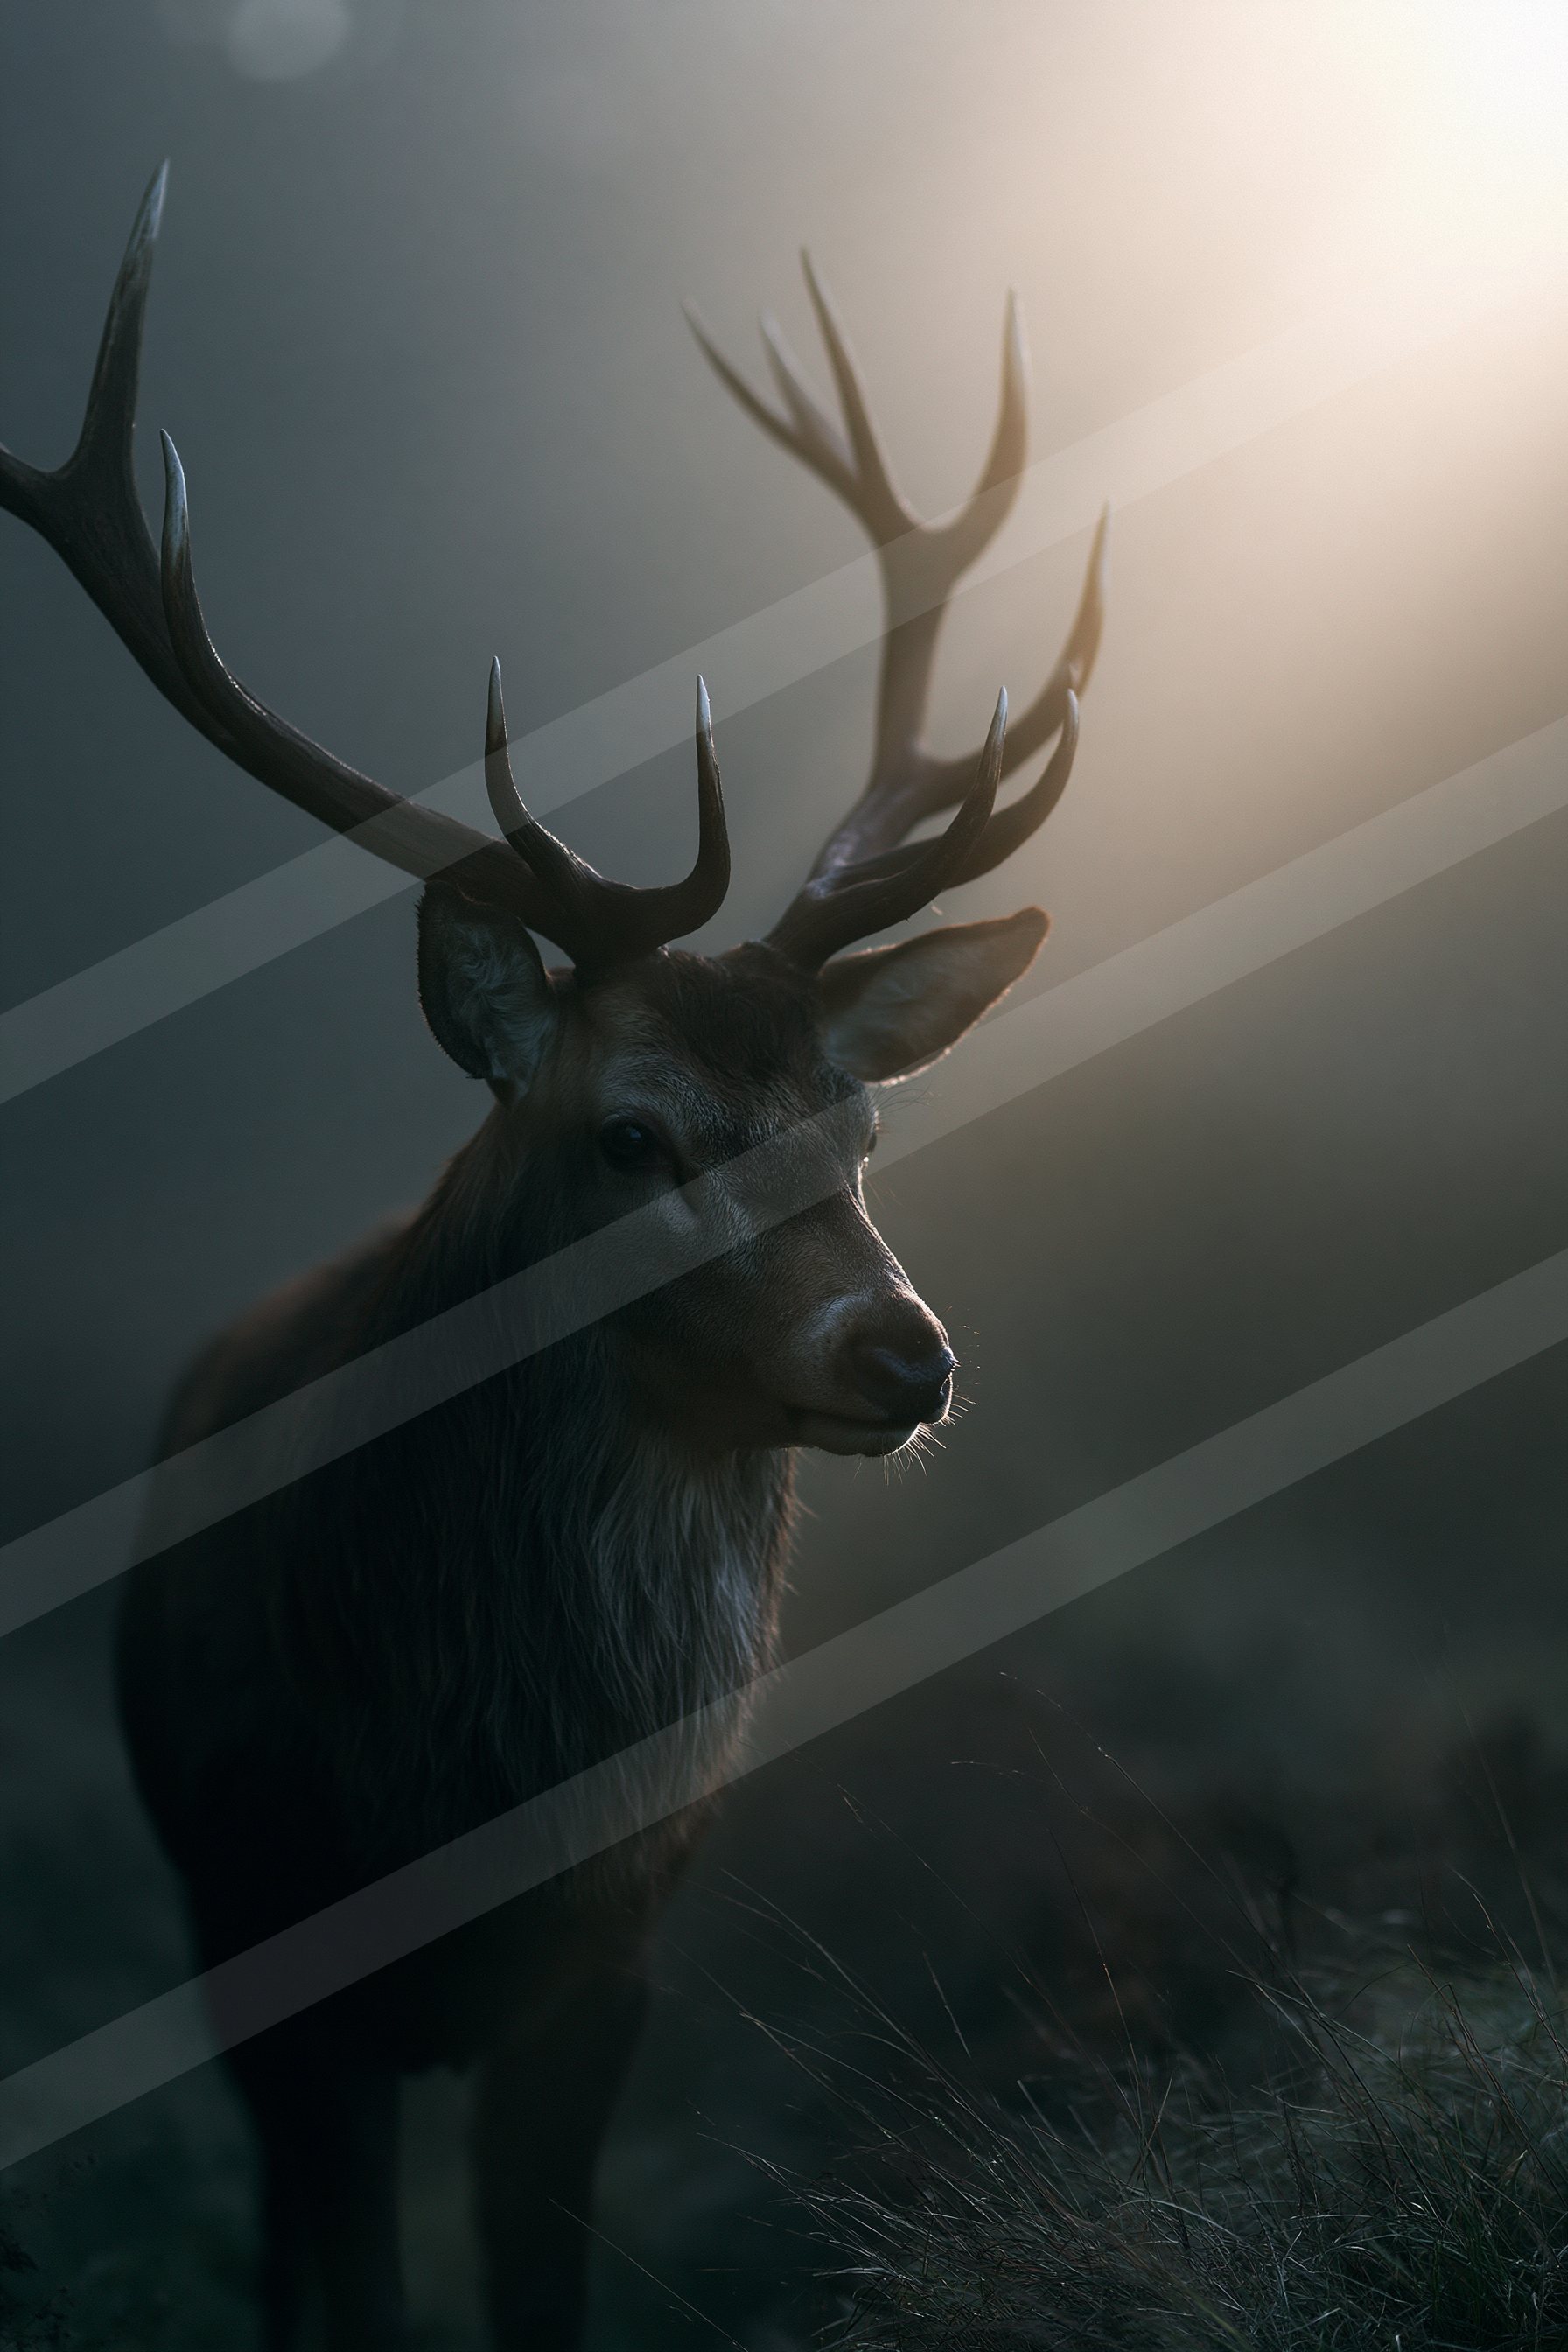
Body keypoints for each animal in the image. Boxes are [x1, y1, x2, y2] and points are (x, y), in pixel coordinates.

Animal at [0, 167, 1106, 2350]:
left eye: (862, 1127)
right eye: (631, 1135)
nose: (903, 1354)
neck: (451, 1796)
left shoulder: (616, 1956)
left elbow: (543, 2281)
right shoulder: (269, 1948)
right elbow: (349, 2280)